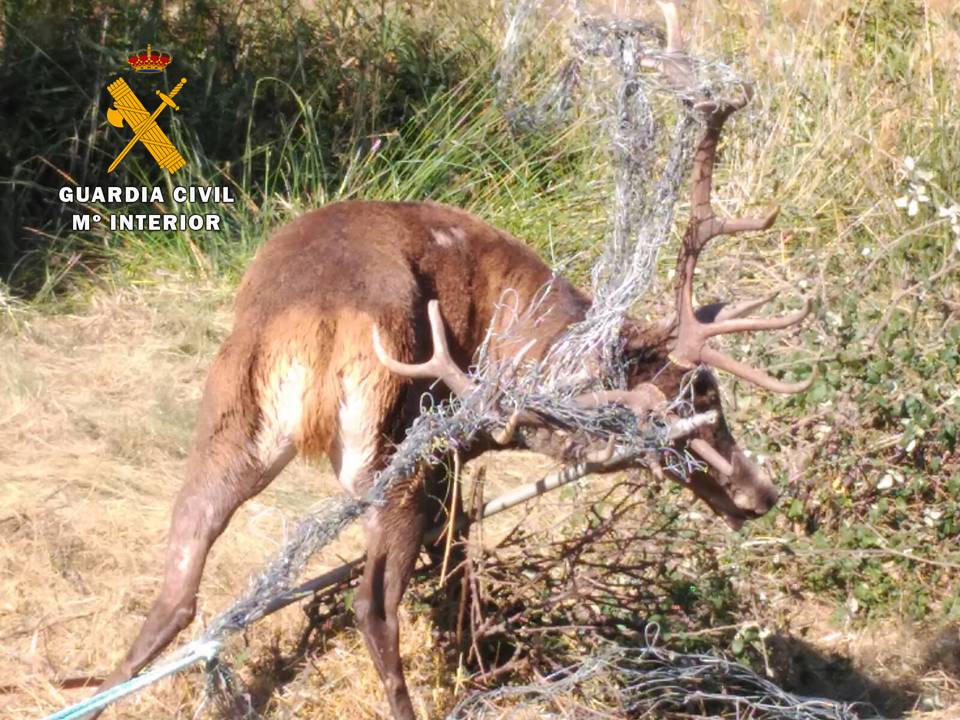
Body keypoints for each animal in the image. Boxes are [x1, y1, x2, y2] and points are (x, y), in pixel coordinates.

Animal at [92, 5, 808, 720]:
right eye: (700, 402)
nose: (762, 493)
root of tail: (317, 325)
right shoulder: (457, 445)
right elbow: (459, 552)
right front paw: (473, 652)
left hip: (231, 418)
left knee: (178, 584)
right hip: (401, 448)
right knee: (372, 604)